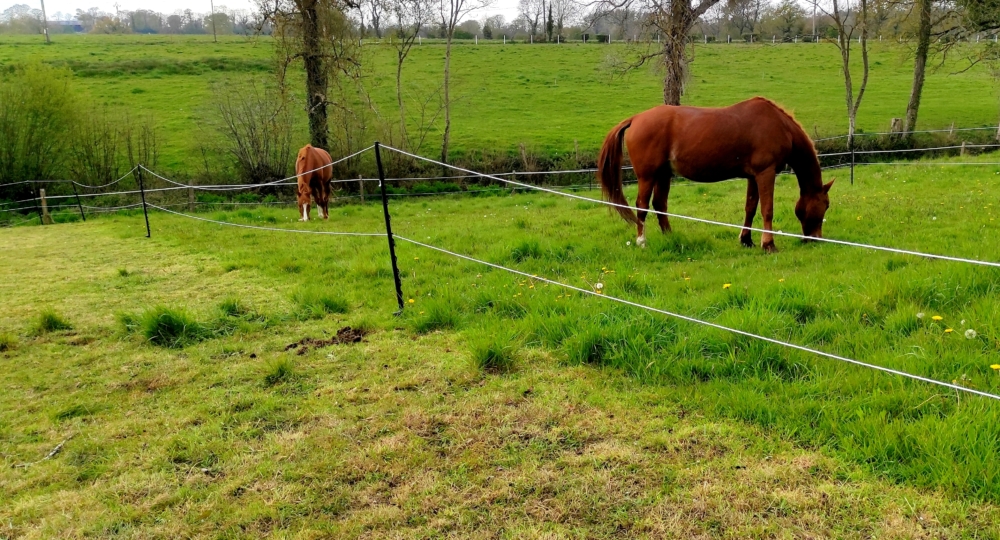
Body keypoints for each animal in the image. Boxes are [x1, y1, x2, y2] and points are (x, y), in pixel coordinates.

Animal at [596, 97, 832, 253]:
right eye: (825, 205)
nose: (816, 239)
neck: (780, 125)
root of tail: (636, 118)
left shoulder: (753, 176)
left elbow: (750, 207)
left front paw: (746, 240)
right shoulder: (766, 173)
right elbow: (767, 210)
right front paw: (768, 244)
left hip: (663, 175)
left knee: (660, 205)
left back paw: (670, 237)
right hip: (648, 176)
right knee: (642, 206)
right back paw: (641, 241)